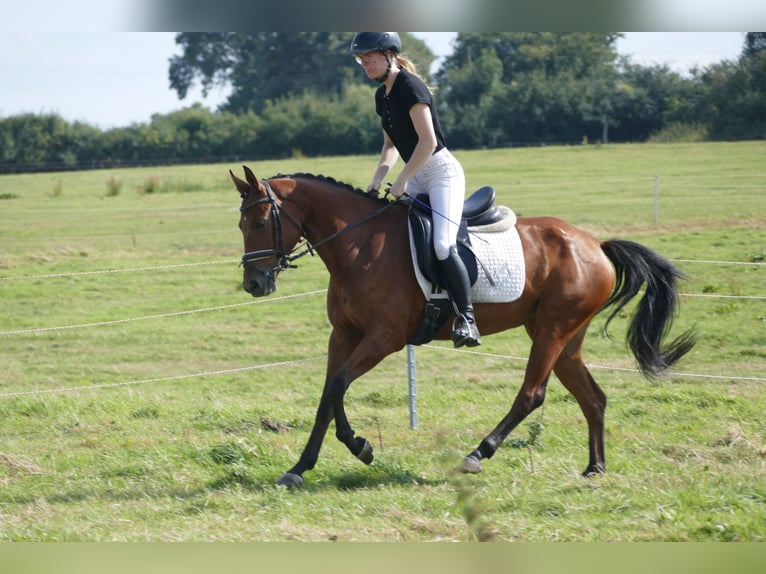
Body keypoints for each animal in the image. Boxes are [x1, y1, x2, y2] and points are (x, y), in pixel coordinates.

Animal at [228, 166, 696, 490]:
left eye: (259, 223)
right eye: (241, 225)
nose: (254, 284)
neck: (357, 245)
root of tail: (594, 244)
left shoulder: (384, 339)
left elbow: (340, 384)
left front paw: (361, 446)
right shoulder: (343, 336)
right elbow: (328, 395)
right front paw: (299, 467)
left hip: (552, 331)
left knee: (532, 394)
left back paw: (477, 454)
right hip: (565, 337)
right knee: (593, 398)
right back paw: (595, 468)